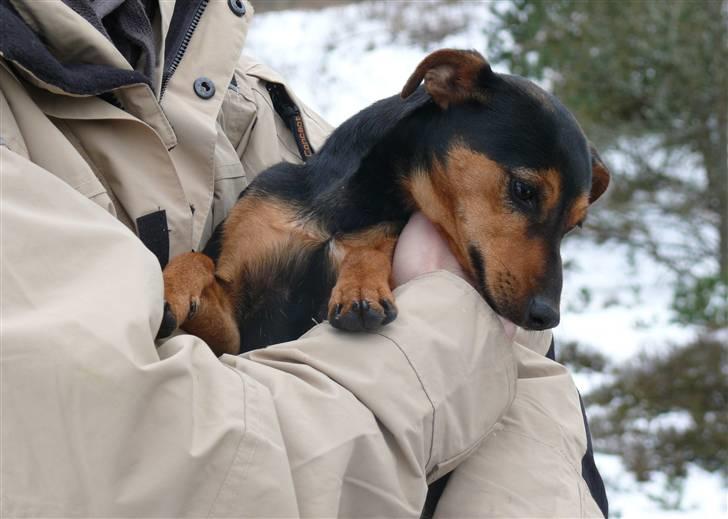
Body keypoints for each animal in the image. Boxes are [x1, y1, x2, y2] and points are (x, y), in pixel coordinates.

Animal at [158, 49, 608, 358]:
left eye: (574, 225)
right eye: (523, 190)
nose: (547, 317)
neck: (352, 204)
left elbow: (372, 247)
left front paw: (361, 284)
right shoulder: (233, 333)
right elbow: (197, 259)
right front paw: (167, 288)